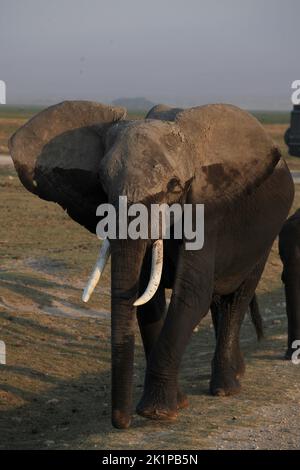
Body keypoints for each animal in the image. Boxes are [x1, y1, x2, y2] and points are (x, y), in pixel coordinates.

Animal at [8, 101, 292, 428]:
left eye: (174, 186)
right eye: (102, 184)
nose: (122, 421)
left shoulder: (207, 214)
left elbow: (190, 296)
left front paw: (156, 413)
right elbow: (148, 300)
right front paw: (176, 404)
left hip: (265, 235)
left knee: (237, 298)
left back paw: (225, 388)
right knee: (219, 302)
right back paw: (235, 373)